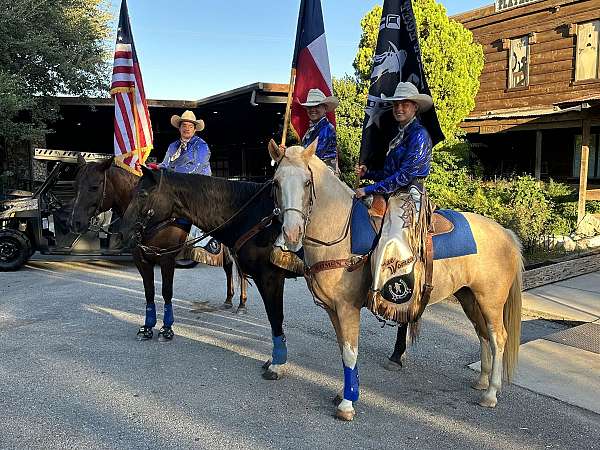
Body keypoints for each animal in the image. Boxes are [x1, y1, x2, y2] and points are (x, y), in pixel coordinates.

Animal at [69, 155, 246, 342]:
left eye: (94, 187)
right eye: (75, 186)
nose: (75, 222)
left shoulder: (166, 259)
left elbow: (166, 291)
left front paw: (166, 329)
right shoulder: (141, 260)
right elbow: (149, 292)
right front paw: (147, 327)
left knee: (241, 272)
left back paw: (242, 304)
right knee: (228, 267)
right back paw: (228, 300)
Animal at [270, 139, 524, 420]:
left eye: (307, 182)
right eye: (276, 182)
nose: (292, 233)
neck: (341, 233)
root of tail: (506, 233)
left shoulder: (347, 308)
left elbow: (350, 352)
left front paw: (347, 404)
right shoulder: (333, 309)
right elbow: (343, 349)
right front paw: (346, 392)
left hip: (491, 301)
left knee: (498, 337)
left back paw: (491, 393)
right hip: (469, 297)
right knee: (482, 333)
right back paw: (481, 381)